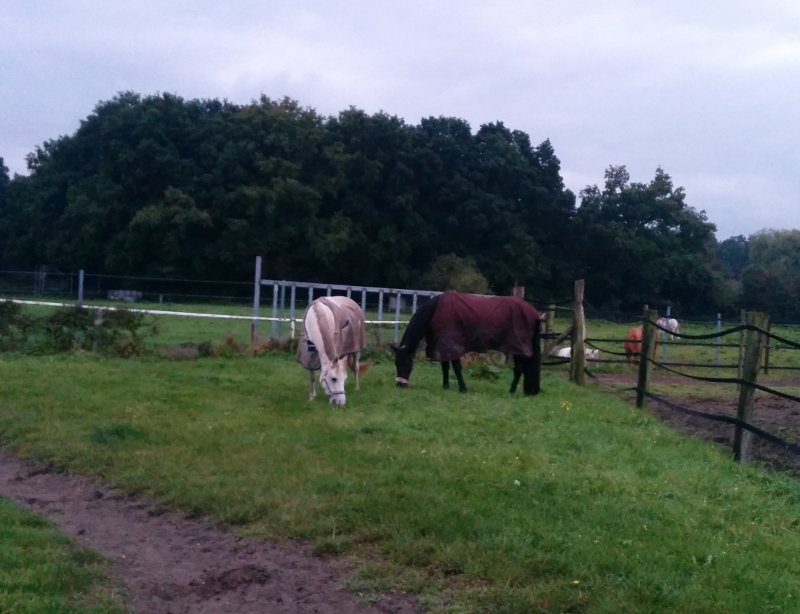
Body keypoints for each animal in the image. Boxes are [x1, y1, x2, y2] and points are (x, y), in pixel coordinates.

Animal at [390, 291, 545, 395]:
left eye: (407, 363)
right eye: (396, 363)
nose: (400, 385)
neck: (435, 311)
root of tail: (534, 313)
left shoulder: (451, 345)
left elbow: (457, 368)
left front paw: (463, 389)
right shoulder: (442, 345)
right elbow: (445, 367)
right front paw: (445, 386)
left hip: (518, 346)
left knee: (519, 369)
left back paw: (511, 391)